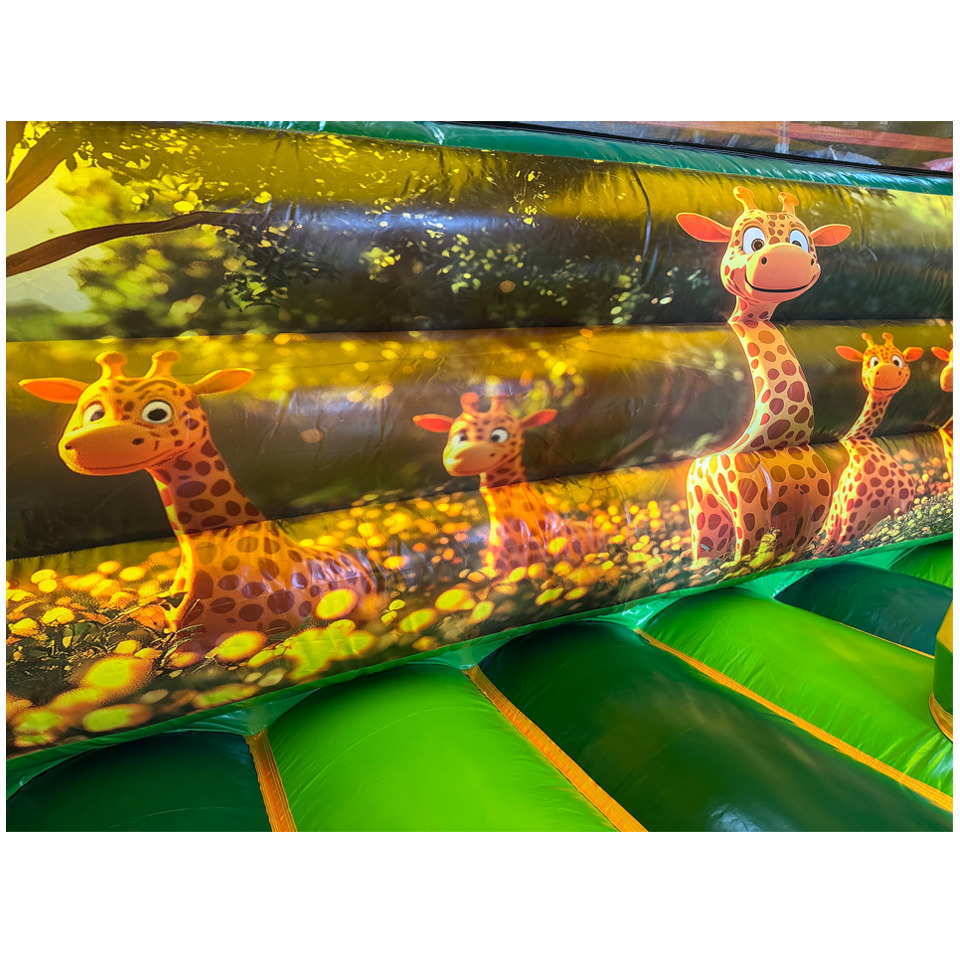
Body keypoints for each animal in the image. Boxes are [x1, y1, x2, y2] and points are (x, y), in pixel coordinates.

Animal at [676, 187, 851, 563]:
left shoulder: (814, 509)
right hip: (704, 509)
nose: (788, 258)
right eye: (752, 241)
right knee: (706, 554)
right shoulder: (748, 511)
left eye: (801, 241)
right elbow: (745, 562)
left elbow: (787, 556)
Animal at [820, 332, 924, 549]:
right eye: (872, 361)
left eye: (898, 360)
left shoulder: (902, 507)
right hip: (841, 530)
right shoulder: (851, 523)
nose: (887, 373)